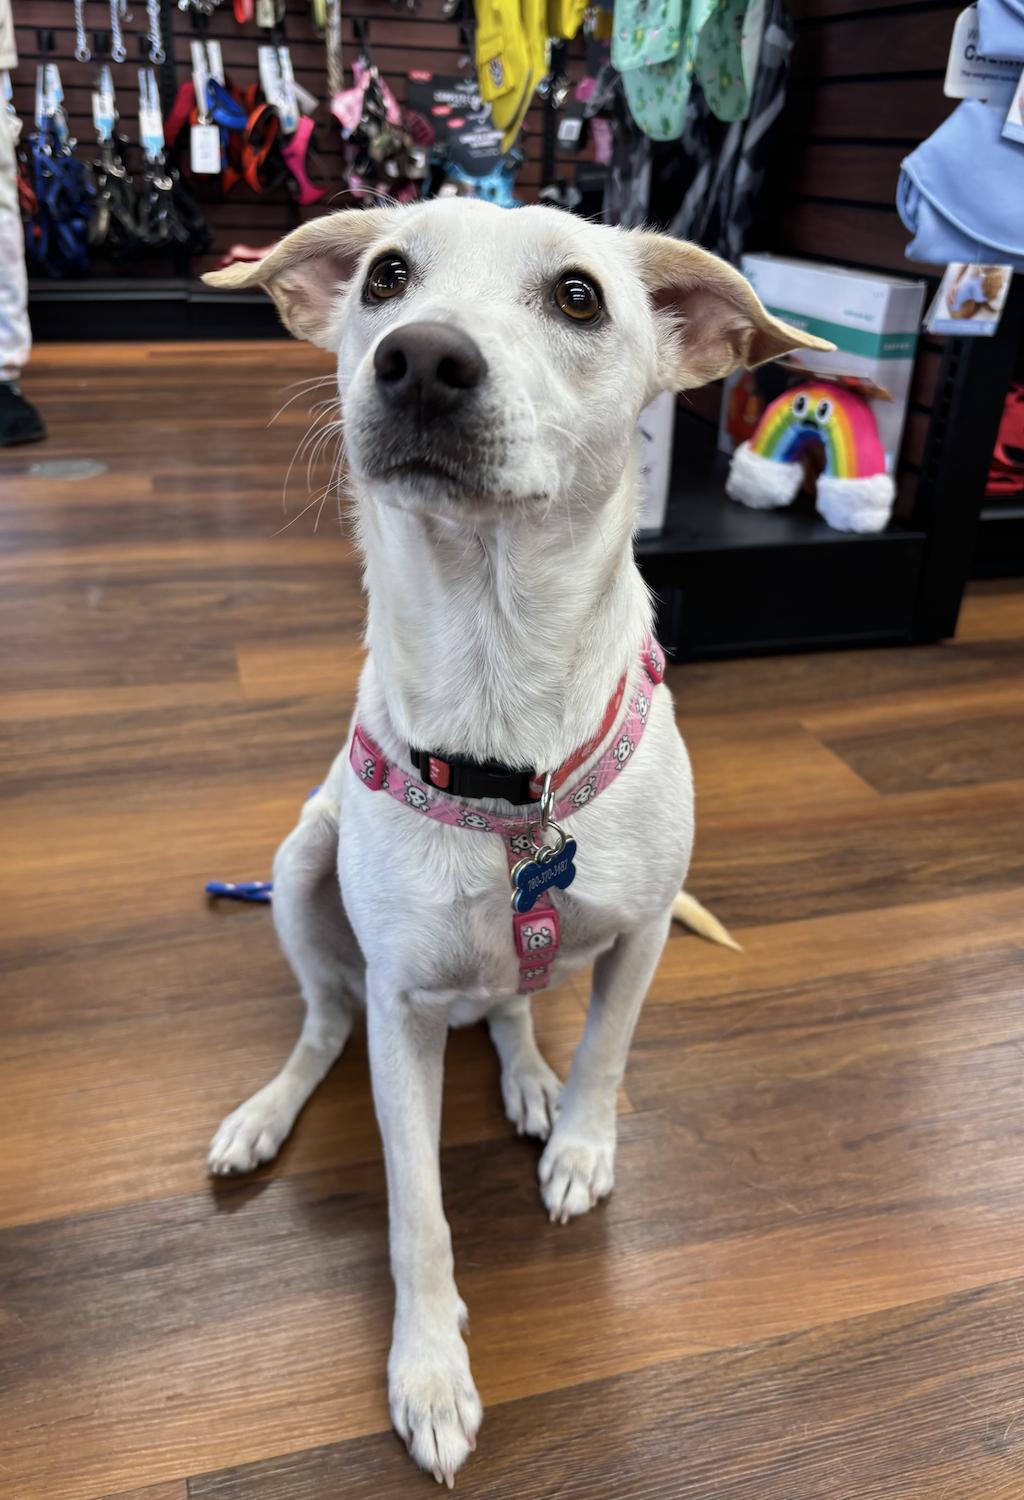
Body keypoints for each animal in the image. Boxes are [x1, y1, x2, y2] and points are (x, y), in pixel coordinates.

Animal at [200, 202, 827, 1488]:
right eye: (387, 276)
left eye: (580, 297)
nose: (420, 359)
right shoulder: (398, 1012)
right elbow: (416, 1211)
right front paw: (431, 1370)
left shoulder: (641, 939)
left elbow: (606, 1053)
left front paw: (578, 1141)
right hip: (301, 864)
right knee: (323, 1022)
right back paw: (266, 1113)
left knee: (512, 1005)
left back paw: (526, 1069)